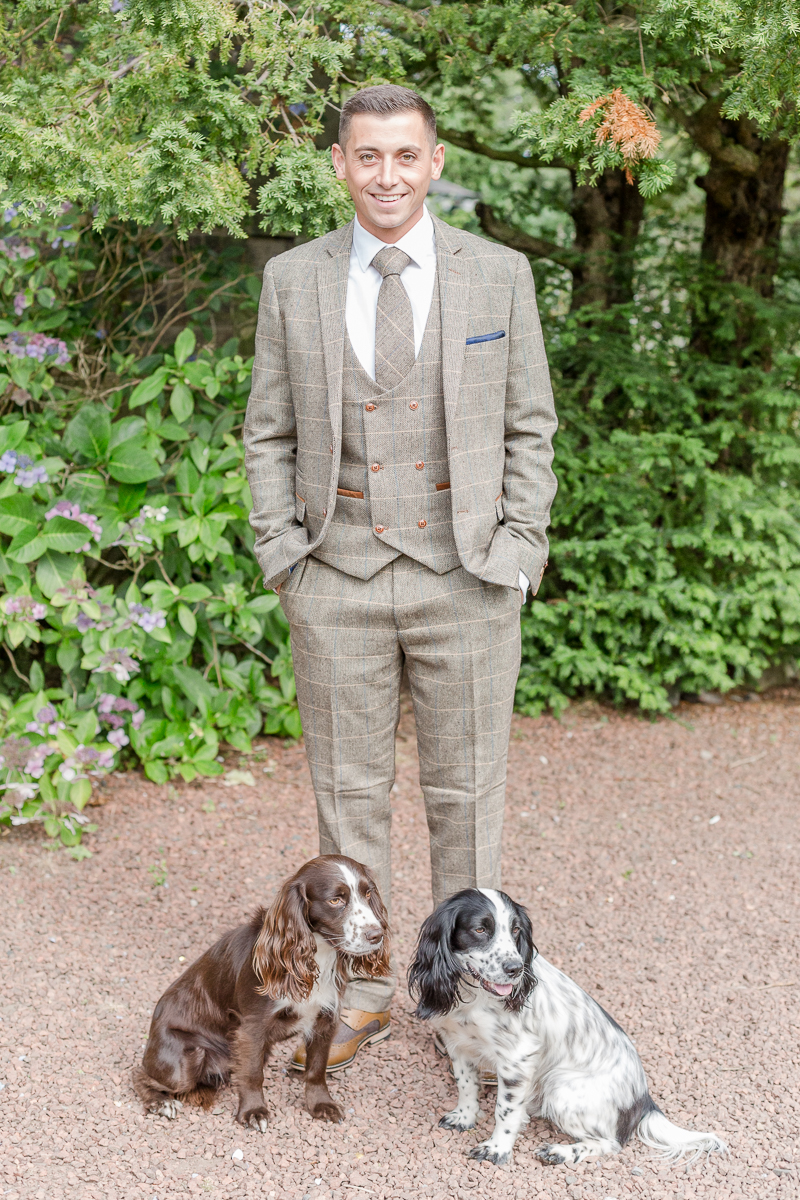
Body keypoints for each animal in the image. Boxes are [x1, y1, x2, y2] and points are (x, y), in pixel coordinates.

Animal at [134, 859, 391, 1128]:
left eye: (368, 893)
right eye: (335, 900)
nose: (377, 935)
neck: (315, 954)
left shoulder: (325, 1019)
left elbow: (317, 1069)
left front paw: (321, 1105)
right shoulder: (252, 1026)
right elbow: (252, 1073)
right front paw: (253, 1111)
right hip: (187, 1058)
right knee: (140, 1074)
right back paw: (160, 1102)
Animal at [410, 892, 729, 1161]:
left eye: (516, 931)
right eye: (480, 930)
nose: (516, 969)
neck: (475, 996)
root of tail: (644, 1100)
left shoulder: (517, 1059)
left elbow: (505, 1111)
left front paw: (497, 1149)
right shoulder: (457, 1042)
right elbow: (465, 1084)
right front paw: (465, 1117)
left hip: (560, 1087)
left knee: (611, 1143)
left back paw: (561, 1152)